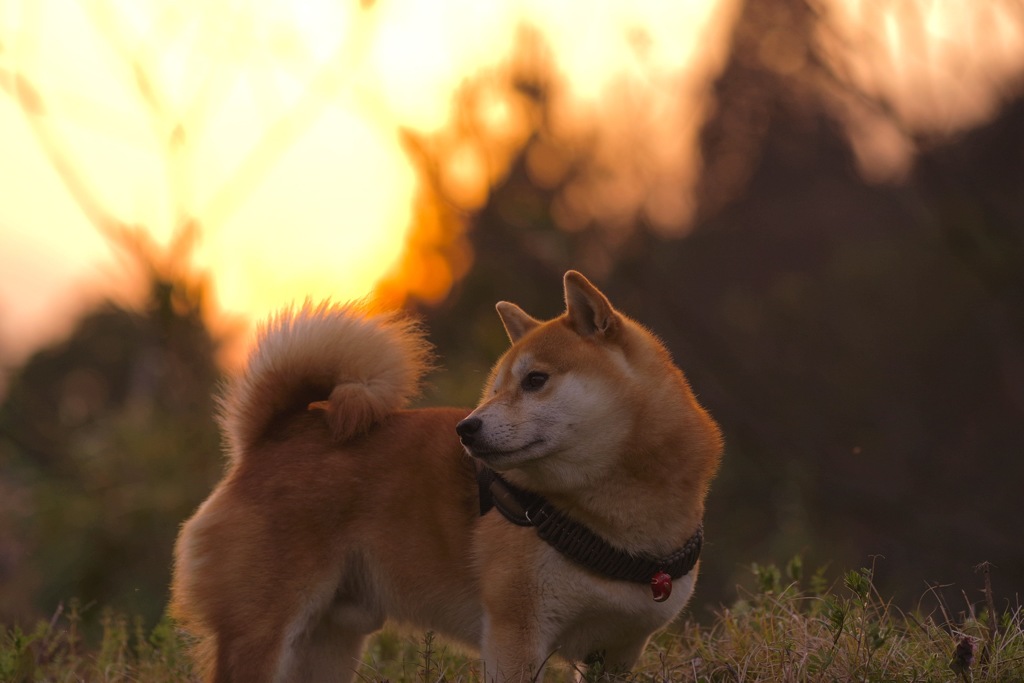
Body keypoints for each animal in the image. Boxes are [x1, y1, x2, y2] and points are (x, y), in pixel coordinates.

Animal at [169, 270, 720, 679]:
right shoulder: (515, 637)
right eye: (495, 388)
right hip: (262, 631)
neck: (613, 516)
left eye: (535, 380)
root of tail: (271, 437)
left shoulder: (617, 652)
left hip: (328, 640)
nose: (466, 428)